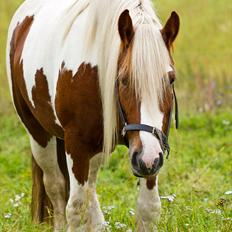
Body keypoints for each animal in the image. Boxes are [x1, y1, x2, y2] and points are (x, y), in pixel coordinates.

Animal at [5, 0, 179, 231]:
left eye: (171, 79)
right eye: (123, 79)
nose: (147, 158)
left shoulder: (150, 153)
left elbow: (148, 208)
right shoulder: (77, 146)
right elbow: (75, 208)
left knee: (90, 189)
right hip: (39, 135)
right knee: (56, 187)